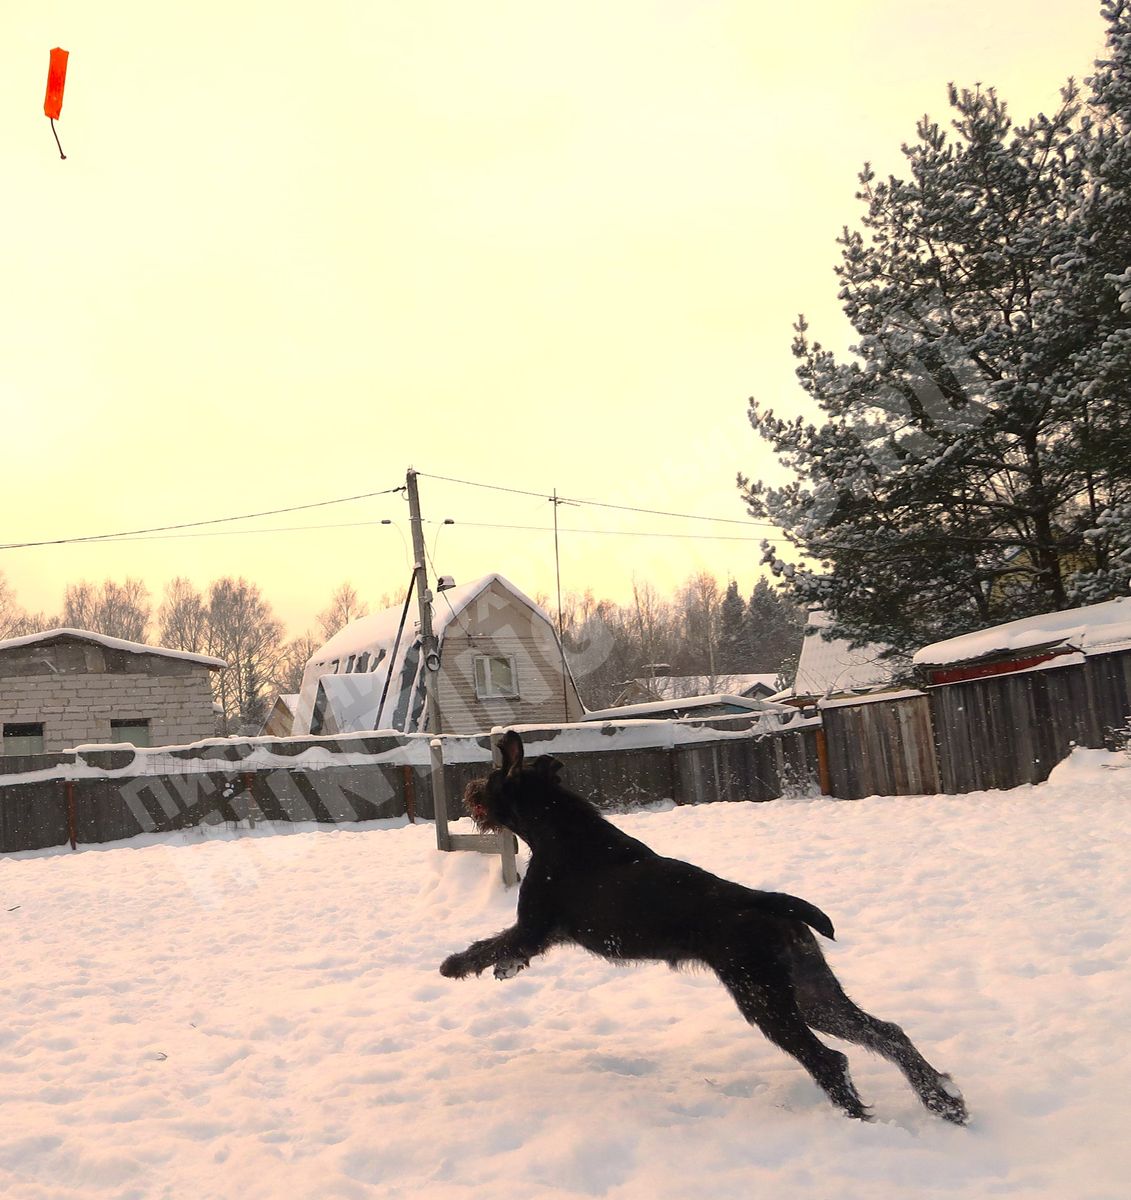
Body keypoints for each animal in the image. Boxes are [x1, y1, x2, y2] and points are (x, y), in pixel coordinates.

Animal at [440, 730, 968, 1124]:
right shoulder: (542, 935)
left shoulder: (533, 926)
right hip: (812, 993)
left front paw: (453, 965)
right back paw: (944, 1103)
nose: (468, 792)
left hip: (762, 998)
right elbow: (508, 952)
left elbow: (489, 945)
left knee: (829, 1059)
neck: (557, 828)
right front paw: (504, 970)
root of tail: (770, 904)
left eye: (488, 778)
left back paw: (857, 1118)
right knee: (887, 1033)